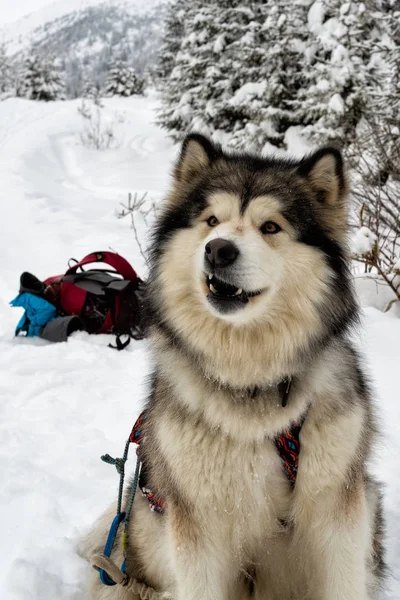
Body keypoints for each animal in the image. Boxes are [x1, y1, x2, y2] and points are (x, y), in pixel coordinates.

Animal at [83, 136, 386, 600]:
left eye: (271, 227)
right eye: (212, 221)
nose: (218, 249)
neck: (251, 379)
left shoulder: (337, 507)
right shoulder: (196, 522)